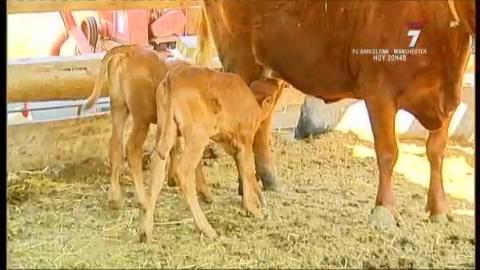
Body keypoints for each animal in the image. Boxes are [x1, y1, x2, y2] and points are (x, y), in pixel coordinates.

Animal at [82, 45, 212, 209]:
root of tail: (128, 50)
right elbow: (195, 160)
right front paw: (205, 192)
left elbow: (173, 148)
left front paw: (172, 178)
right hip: (141, 119)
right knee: (132, 149)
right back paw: (143, 199)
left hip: (119, 108)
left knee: (115, 146)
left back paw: (114, 198)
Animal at [139, 66, 280, 243]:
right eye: (273, 97)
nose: (276, 81)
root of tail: (173, 77)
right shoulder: (245, 141)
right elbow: (248, 171)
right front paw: (254, 208)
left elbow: (244, 171)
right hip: (196, 137)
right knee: (184, 171)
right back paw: (207, 229)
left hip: (165, 131)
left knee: (157, 168)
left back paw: (146, 231)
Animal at [194, 0, 472, 229]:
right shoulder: (378, 91)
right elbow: (388, 152)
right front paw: (384, 210)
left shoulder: (448, 100)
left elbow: (436, 151)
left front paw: (439, 209)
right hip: (239, 59)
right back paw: (247, 190)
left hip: (270, 71)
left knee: (261, 126)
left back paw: (269, 182)